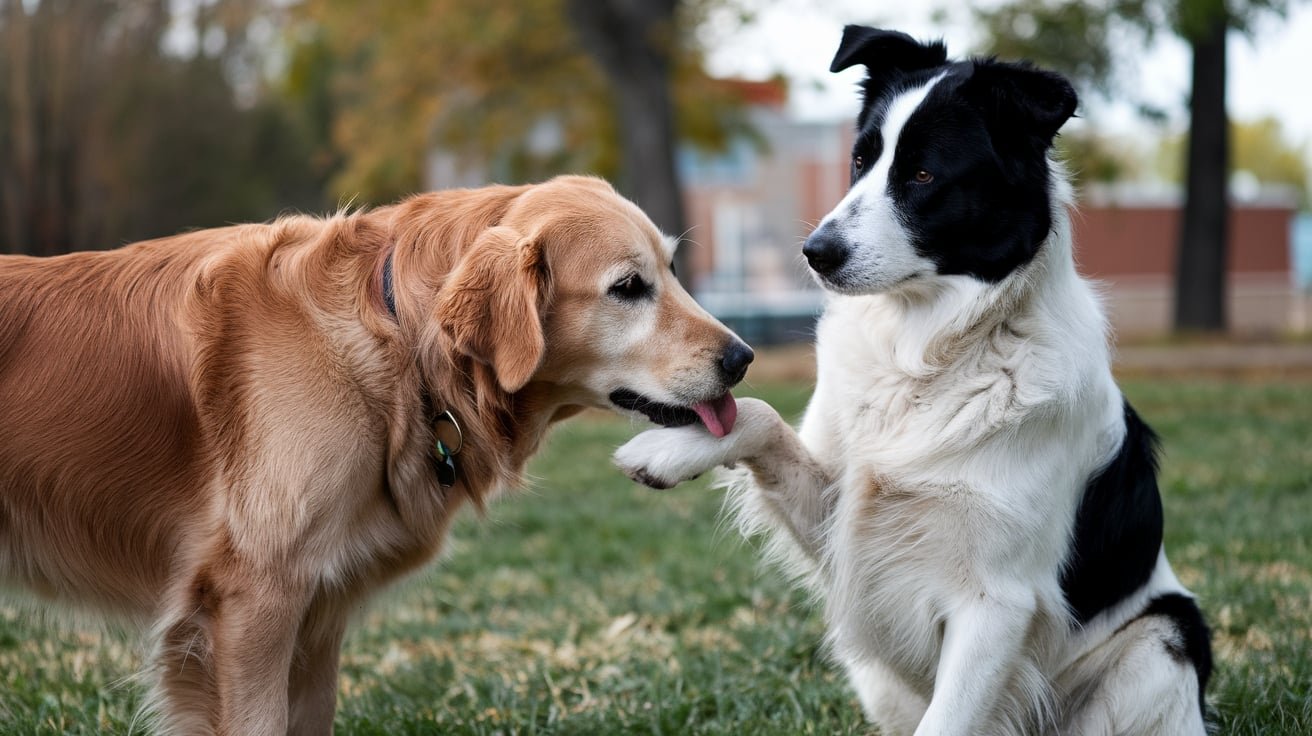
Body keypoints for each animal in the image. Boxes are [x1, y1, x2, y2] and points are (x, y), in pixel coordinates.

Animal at [0, 174, 755, 729]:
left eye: (672, 269)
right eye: (628, 287)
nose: (742, 357)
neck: (397, 338)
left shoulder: (317, 615)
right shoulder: (252, 600)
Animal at [614, 25, 1207, 729]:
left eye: (923, 174)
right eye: (860, 160)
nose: (815, 253)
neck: (924, 351)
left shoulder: (997, 603)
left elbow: (949, 721)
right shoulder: (843, 516)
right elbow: (758, 416)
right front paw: (668, 450)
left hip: (1166, 637)